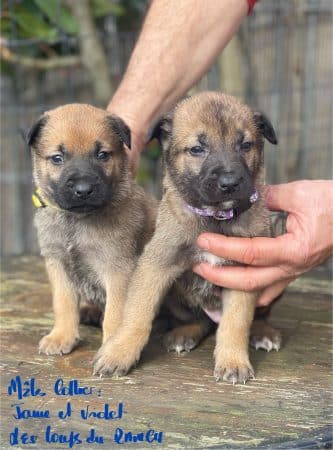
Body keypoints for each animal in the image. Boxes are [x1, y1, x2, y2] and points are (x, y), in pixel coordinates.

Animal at [27, 104, 156, 370]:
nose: (83, 190)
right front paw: (61, 336)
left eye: (102, 155)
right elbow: (63, 303)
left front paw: (112, 348)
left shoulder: (117, 270)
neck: (76, 221)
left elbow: (115, 316)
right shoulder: (58, 264)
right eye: (57, 158)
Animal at [92, 92, 280, 384]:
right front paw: (119, 352)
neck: (215, 218)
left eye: (246, 145)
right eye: (197, 149)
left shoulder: (243, 274)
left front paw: (233, 361)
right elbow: (137, 313)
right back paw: (184, 333)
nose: (229, 183)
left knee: (254, 317)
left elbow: (236, 323)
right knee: (197, 320)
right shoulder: (156, 264)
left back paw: (263, 332)